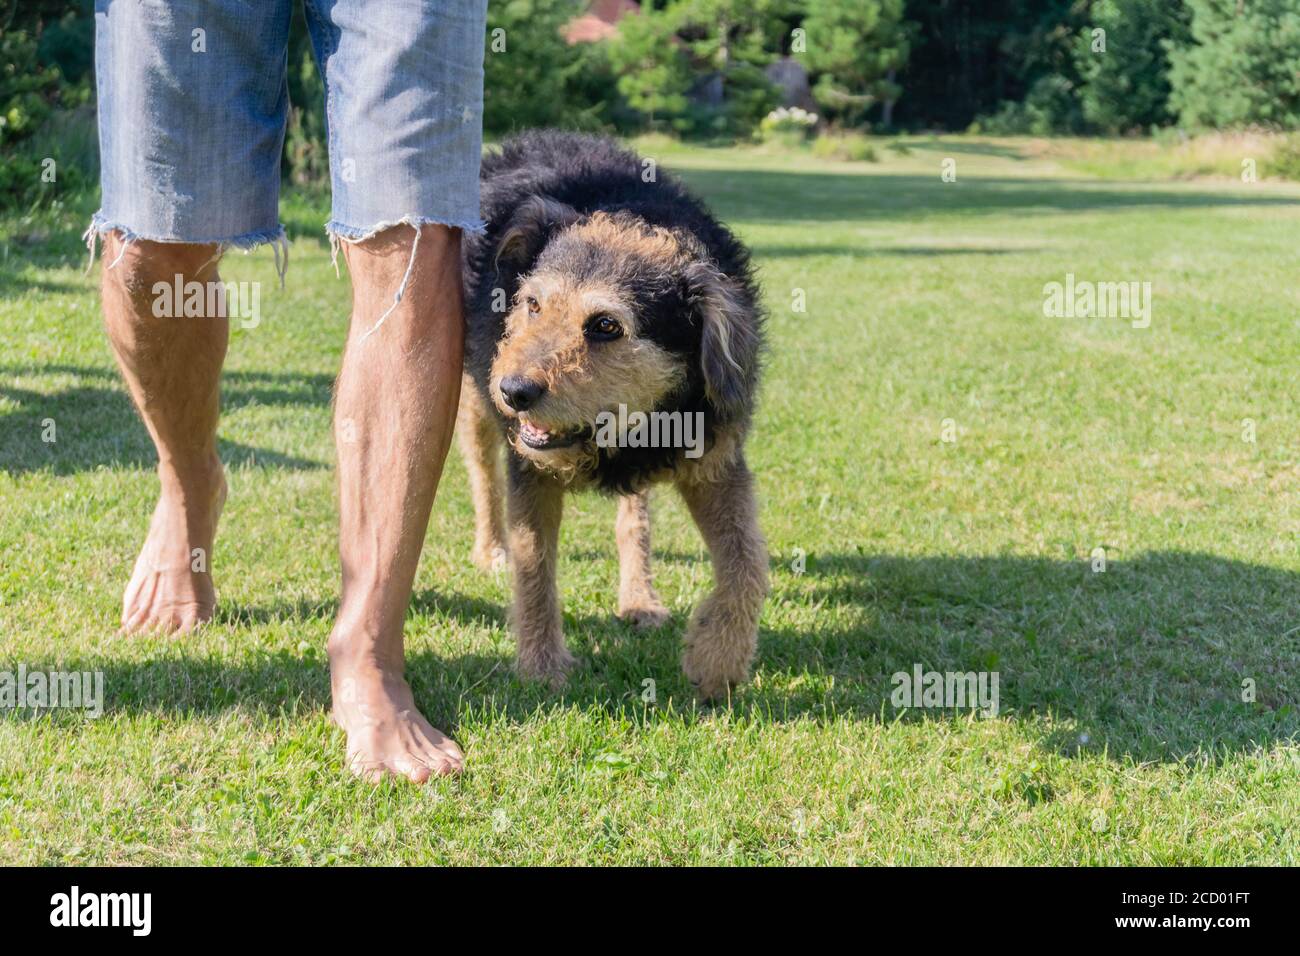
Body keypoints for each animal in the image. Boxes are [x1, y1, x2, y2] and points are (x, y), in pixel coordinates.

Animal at [457, 128, 764, 697]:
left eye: (605, 325)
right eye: (532, 304)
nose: (513, 390)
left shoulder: (713, 461)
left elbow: (748, 563)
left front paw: (717, 660)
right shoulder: (530, 468)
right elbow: (533, 563)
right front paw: (542, 668)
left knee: (634, 515)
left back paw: (639, 596)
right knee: (483, 474)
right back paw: (490, 550)